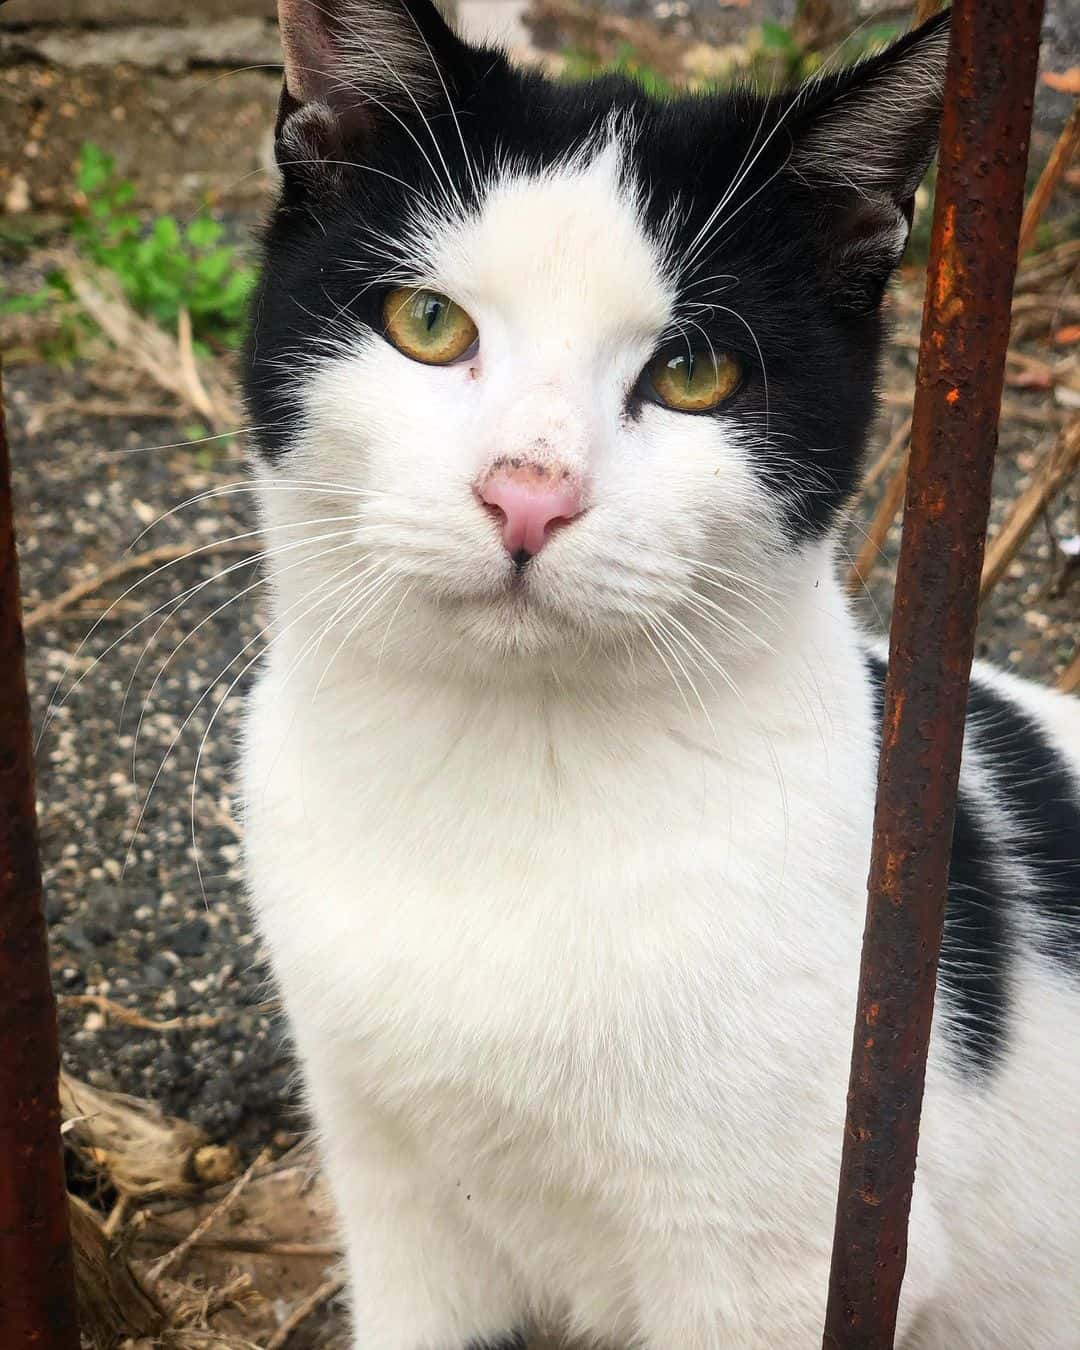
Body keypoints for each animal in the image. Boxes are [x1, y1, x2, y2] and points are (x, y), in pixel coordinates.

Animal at [243, 5, 1080, 1344]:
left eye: (693, 375)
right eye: (428, 325)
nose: (529, 494)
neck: (506, 793)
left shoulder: (783, 1263)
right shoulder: (393, 1193)